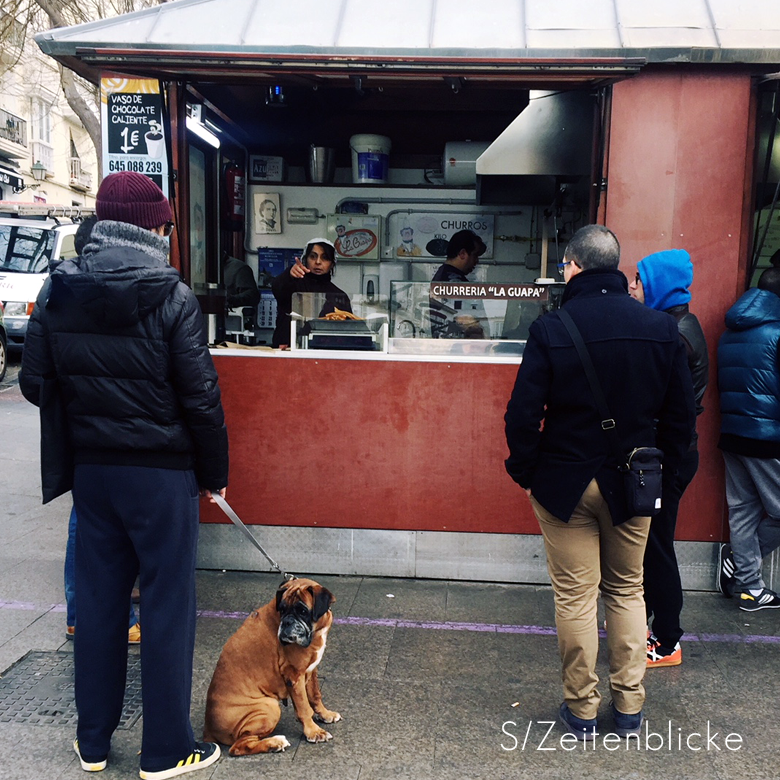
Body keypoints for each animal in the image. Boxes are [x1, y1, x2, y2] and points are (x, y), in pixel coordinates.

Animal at [204, 580, 342, 756]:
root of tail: (208, 729)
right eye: (282, 610)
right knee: (239, 747)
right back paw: (274, 743)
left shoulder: (311, 669)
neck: (316, 629)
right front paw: (314, 732)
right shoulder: (294, 675)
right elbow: (304, 707)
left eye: (303, 611)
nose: (287, 622)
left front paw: (325, 714)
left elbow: (315, 695)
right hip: (269, 707)